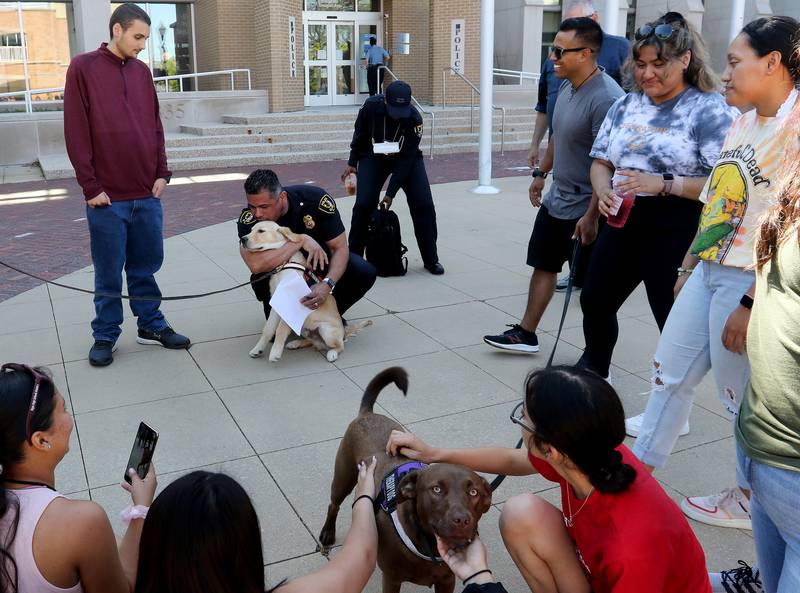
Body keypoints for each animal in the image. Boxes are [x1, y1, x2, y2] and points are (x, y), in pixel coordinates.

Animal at [241, 221, 346, 360]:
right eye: (251, 230)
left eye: (261, 231)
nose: (242, 239)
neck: (284, 264)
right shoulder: (276, 303)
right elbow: (268, 329)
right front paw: (258, 349)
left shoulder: (290, 305)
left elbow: (280, 330)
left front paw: (275, 353)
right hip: (304, 329)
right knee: (313, 342)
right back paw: (295, 343)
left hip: (326, 330)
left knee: (339, 345)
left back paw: (332, 353)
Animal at [318, 366, 494, 592]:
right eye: (436, 489)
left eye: (473, 492)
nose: (462, 520)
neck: (429, 547)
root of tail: (368, 413)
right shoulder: (392, 579)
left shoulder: (447, 581)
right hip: (344, 477)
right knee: (334, 504)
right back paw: (327, 533)